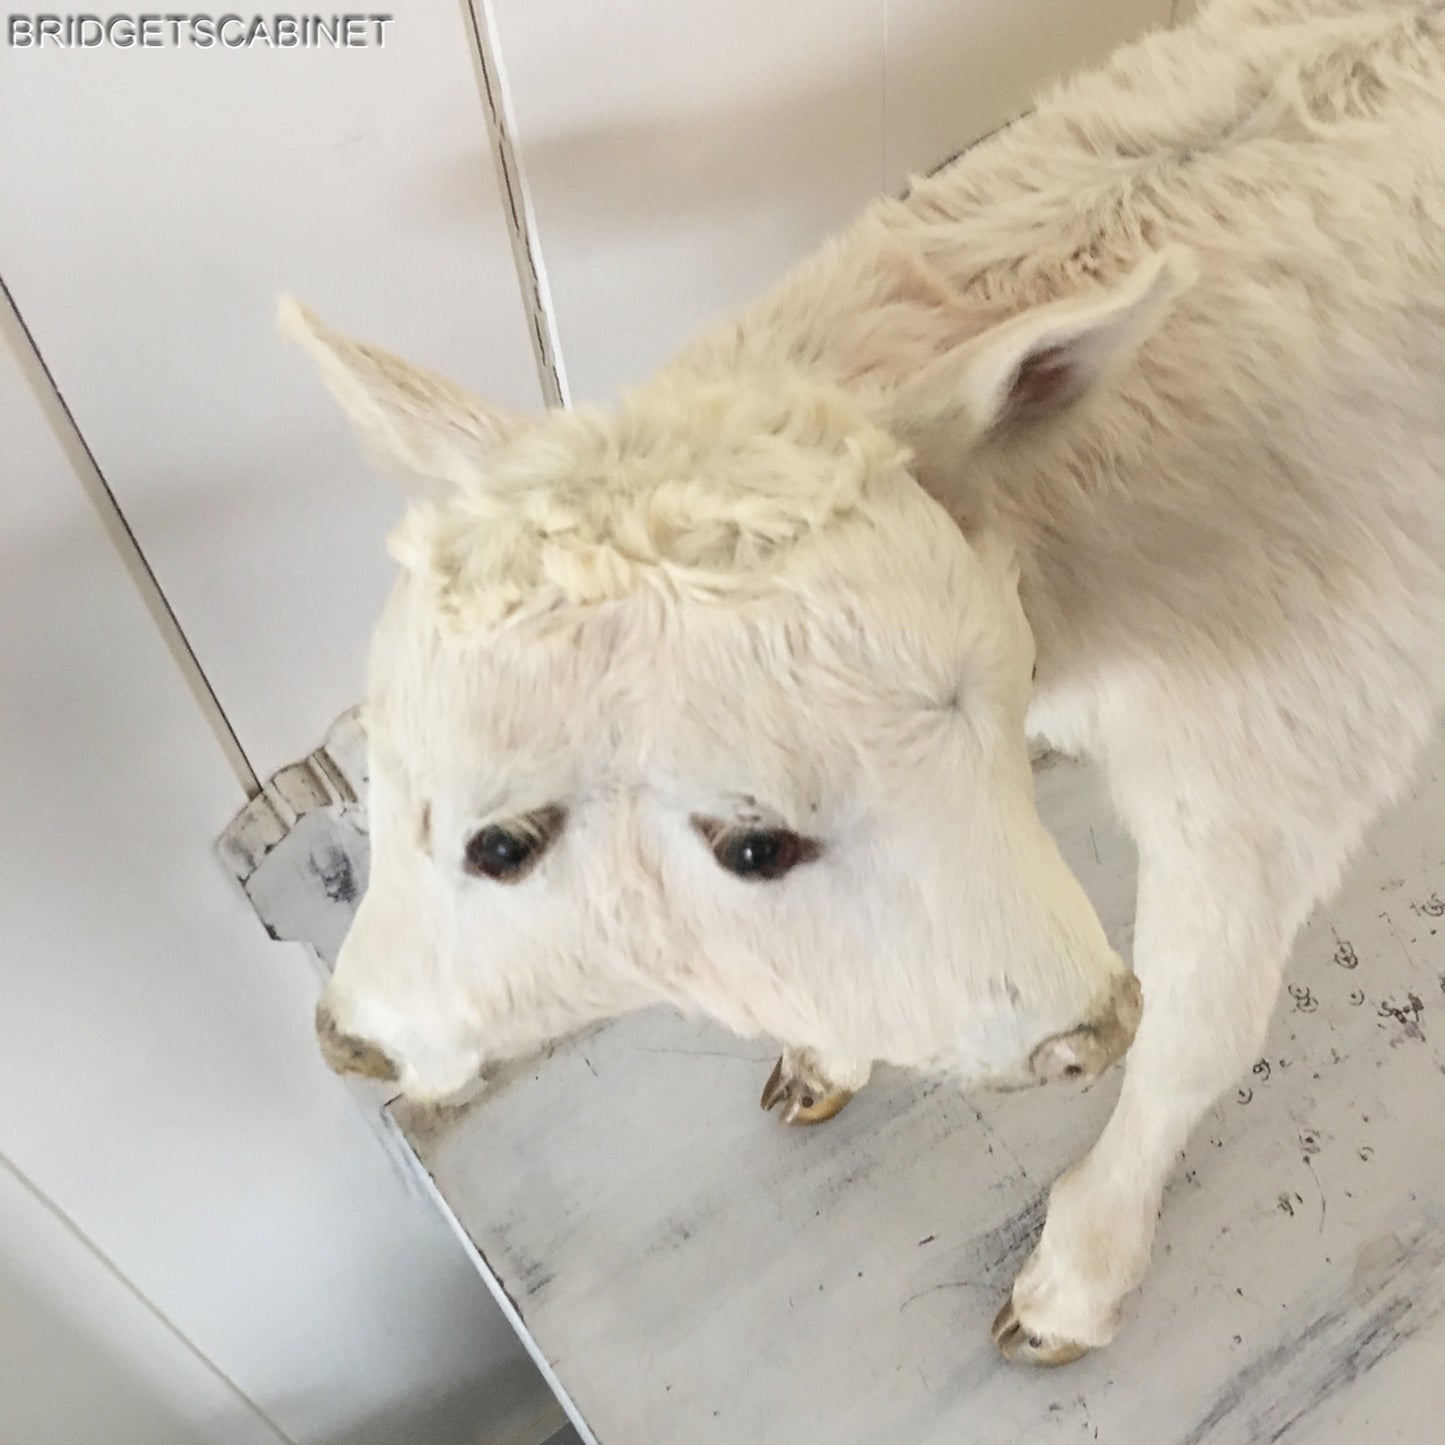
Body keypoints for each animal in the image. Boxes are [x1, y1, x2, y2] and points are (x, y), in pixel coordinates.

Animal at [285, 0, 1445, 1365]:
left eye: (502, 843)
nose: (348, 1037)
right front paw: (825, 1055)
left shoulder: (1283, 744)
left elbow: (1194, 1033)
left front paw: (1076, 1273)